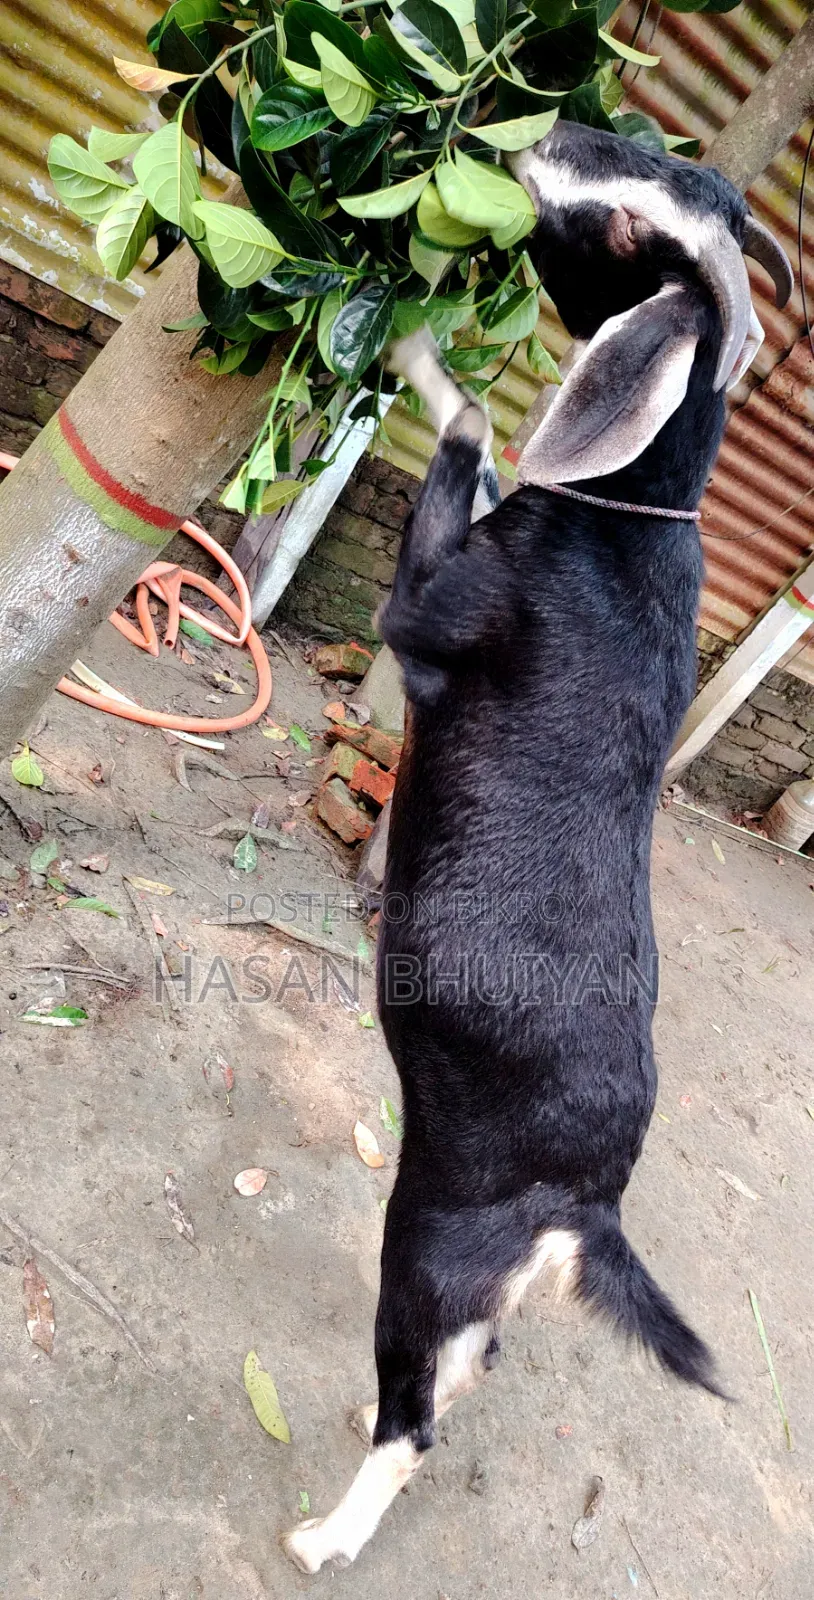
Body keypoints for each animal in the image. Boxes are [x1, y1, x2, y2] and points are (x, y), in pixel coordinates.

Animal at [282, 122, 792, 1574]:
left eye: (621, 233)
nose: (547, 135)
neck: (622, 520)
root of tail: (588, 1203)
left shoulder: (424, 614)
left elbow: (463, 424)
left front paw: (404, 340)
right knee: (465, 1367)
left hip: (430, 1235)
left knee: (419, 1412)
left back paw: (325, 1537)